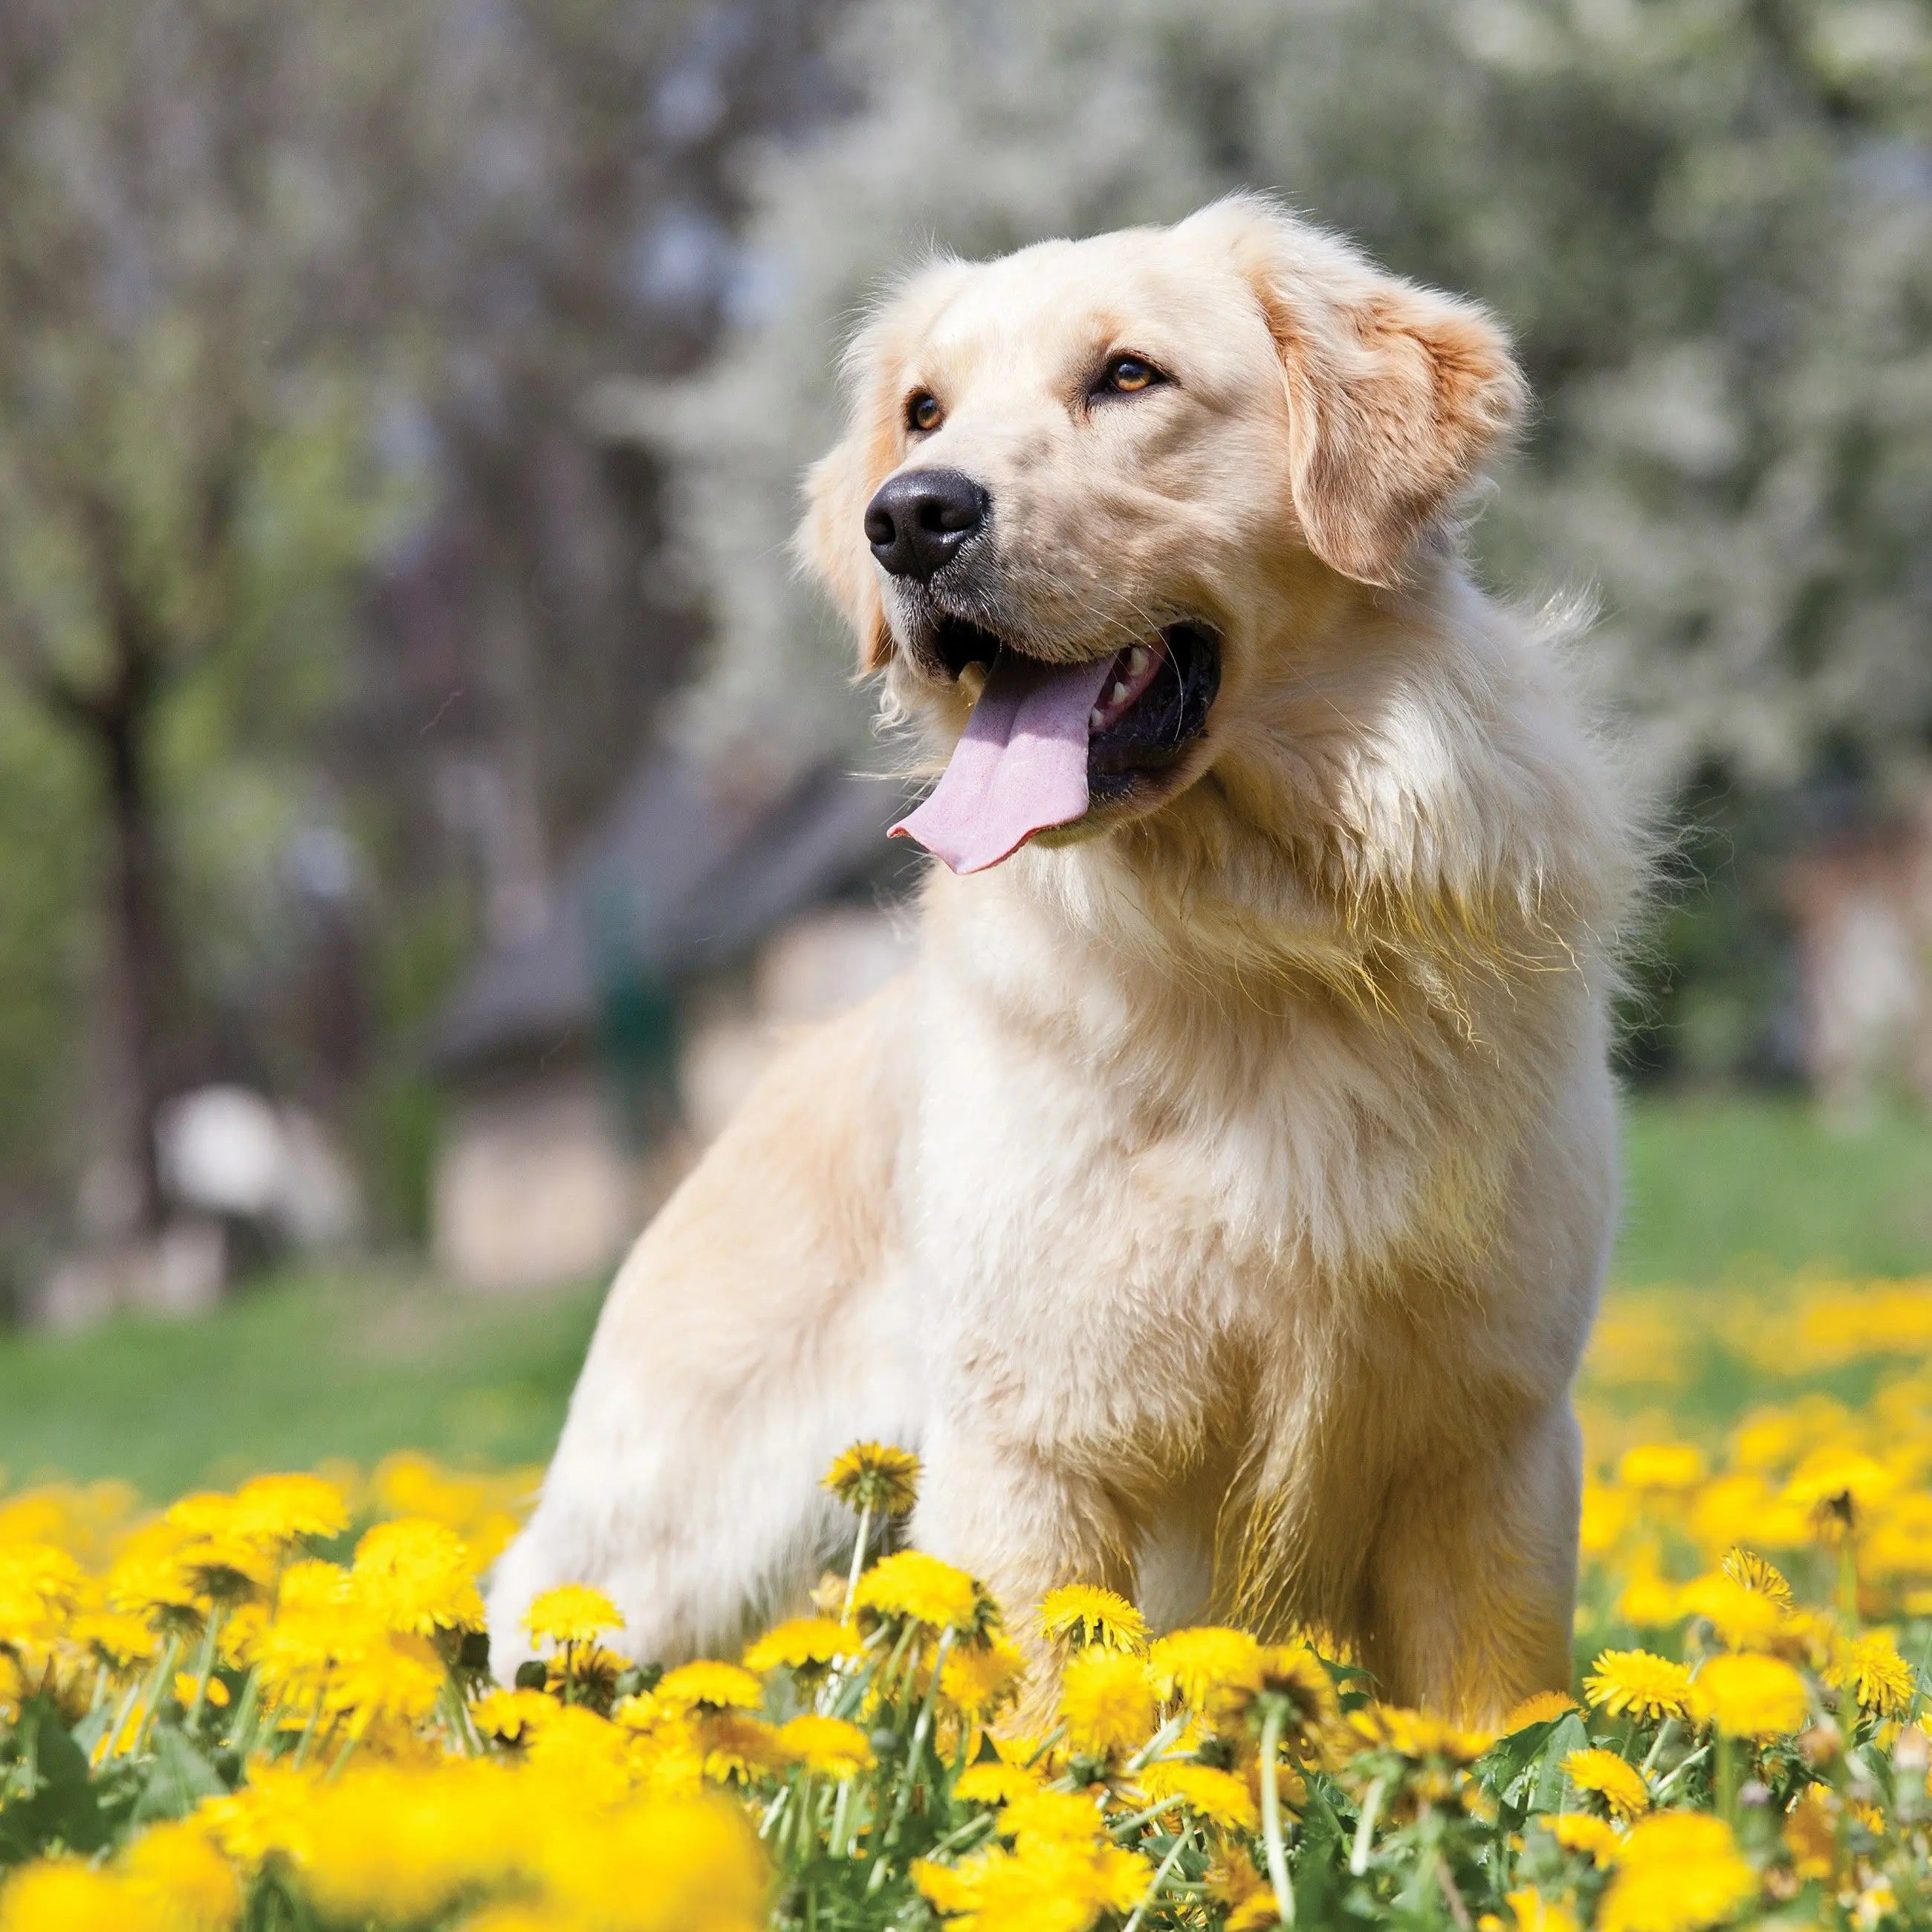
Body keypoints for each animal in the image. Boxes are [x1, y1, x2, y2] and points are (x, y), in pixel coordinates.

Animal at [490, 188, 1638, 1715]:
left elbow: (1495, 1721)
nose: (909, 518)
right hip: (659, 1537)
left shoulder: (1488, 1440)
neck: (1257, 925)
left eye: (1129, 377)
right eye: (923, 411)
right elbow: (1051, 1722)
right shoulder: (1036, 1450)